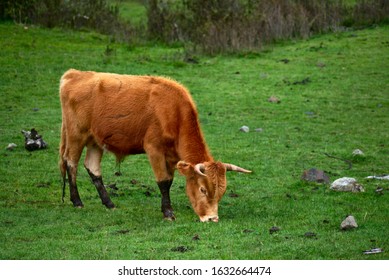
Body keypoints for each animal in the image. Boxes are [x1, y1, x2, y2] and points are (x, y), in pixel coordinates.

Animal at [59, 69, 250, 222]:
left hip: (95, 140)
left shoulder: (171, 157)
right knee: (71, 163)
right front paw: (168, 213)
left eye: (221, 192)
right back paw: (77, 201)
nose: (212, 218)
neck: (174, 112)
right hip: (76, 135)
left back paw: (109, 203)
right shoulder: (154, 149)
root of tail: (74, 74)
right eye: (203, 189)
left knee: (92, 168)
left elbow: (169, 181)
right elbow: (163, 181)